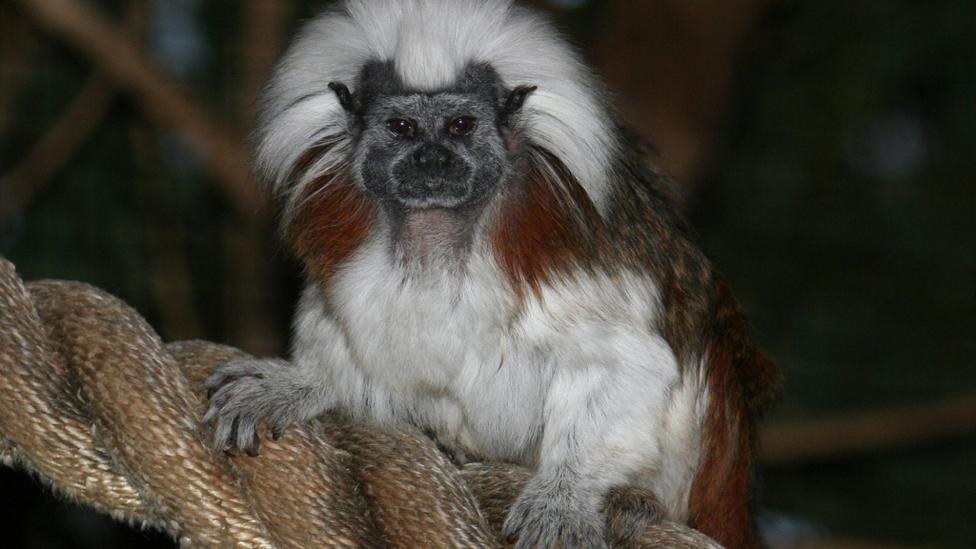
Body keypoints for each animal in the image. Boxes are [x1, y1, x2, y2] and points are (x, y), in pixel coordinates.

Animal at [203, 1, 778, 548]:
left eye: (461, 125)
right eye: (402, 127)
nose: (432, 159)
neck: (441, 236)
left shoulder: (570, 256)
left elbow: (625, 363)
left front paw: (566, 495)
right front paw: (300, 384)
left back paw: (633, 500)